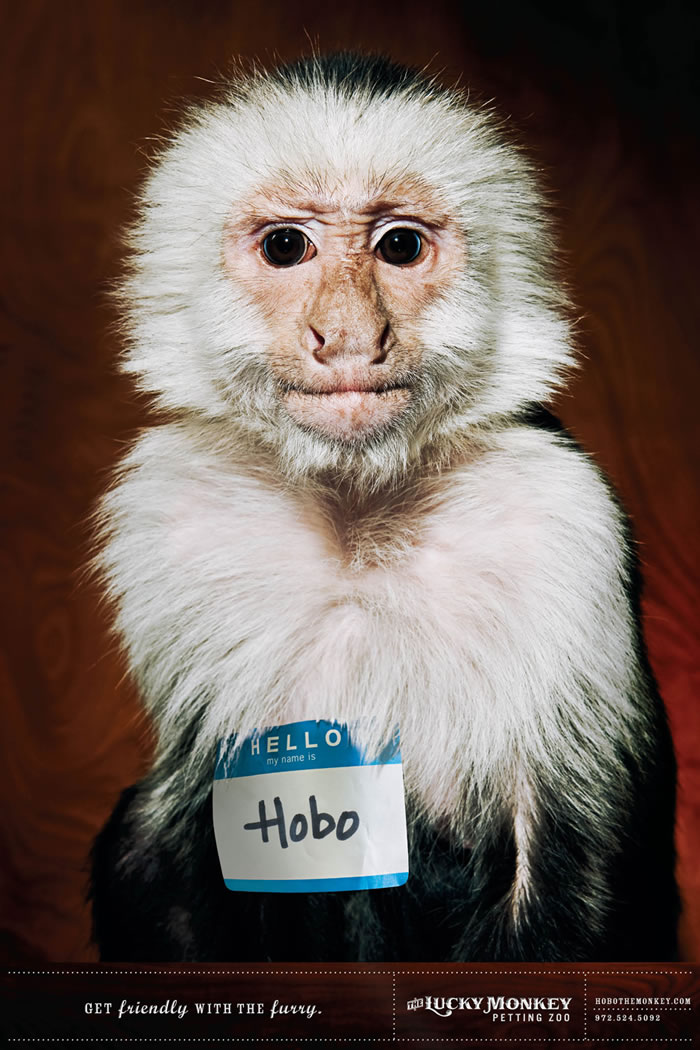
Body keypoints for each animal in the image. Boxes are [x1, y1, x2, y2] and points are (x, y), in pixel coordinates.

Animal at [91, 52, 678, 962]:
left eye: (400, 246)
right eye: (286, 246)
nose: (350, 335)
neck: (359, 520)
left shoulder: (564, 517)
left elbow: (561, 860)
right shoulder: (168, 512)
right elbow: (184, 837)